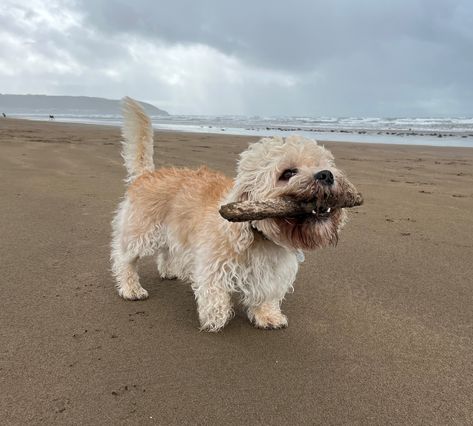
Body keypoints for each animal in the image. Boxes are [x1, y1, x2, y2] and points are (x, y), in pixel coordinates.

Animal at [111, 98, 354, 332]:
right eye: (288, 173)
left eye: (323, 164)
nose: (326, 175)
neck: (259, 236)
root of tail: (147, 174)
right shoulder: (212, 265)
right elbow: (214, 294)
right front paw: (215, 319)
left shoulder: (271, 273)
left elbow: (267, 293)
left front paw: (268, 316)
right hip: (140, 232)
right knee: (124, 259)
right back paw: (131, 288)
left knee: (165, 250)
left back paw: (169, 271)